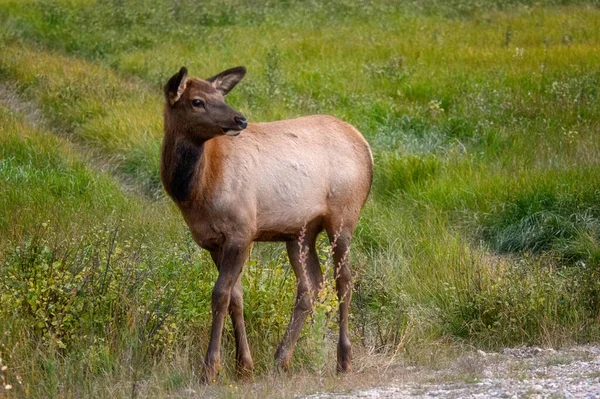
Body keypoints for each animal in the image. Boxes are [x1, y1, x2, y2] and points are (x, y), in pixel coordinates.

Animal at [162, 65, 372, 382]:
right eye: (197, 101)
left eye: (221, 96)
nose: (240, 119)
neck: (195, 190)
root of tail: (366, 145)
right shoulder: (212, 241)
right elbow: (235, 296)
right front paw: (243, 365)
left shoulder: (242, 231)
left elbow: (220, 294)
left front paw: (211, 368)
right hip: (300, 233)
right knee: (310, 287)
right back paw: (281, 358)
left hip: (343, 217)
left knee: (344, 280)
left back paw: (344, 359)